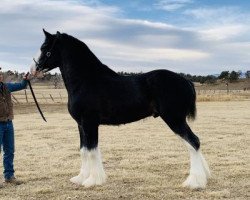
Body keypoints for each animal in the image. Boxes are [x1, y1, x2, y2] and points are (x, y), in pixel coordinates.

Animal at [31, 29, 211, 188]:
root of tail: (185, 81)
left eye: (45, 48)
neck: (86, 80)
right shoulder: (81, 125)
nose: (34, 70)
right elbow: (83, 150)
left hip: (174, 119)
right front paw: (80, 178)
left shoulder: (89, 123)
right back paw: (204, 176)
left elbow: (92, 150)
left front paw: (92, 181)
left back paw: (193, 182)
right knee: (193, 143)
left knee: (193, 142)